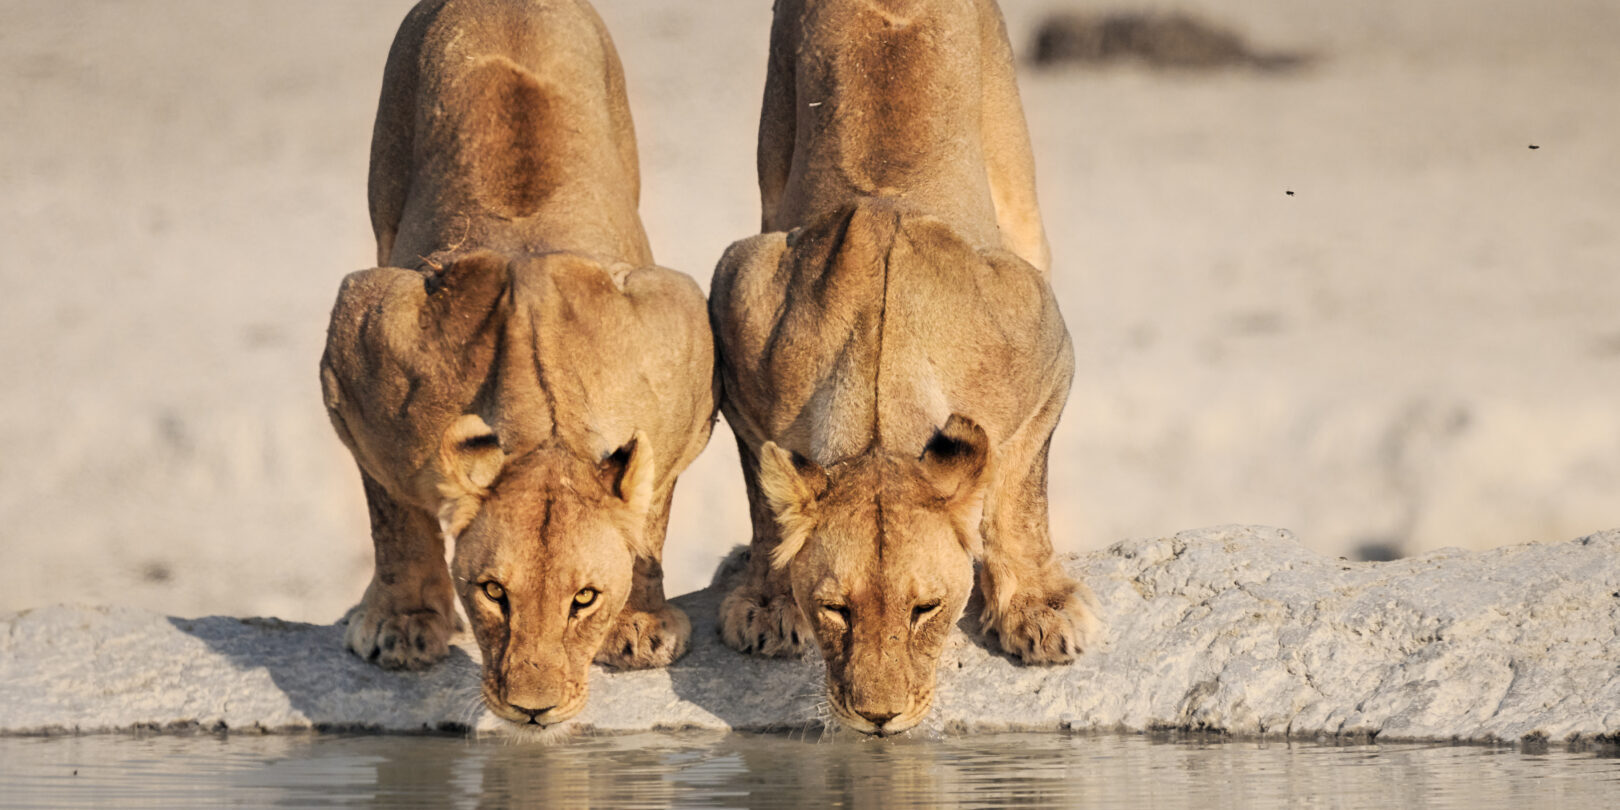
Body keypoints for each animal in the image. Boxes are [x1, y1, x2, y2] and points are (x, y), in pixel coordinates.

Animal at [319, 0, 715, 730]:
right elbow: (392, 511)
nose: (533, 710)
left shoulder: (684, 354)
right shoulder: (362, 343)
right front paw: (402, 623)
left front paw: (640, 623)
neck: (545, 428)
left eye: (584, 599)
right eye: (493, 592)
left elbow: (650, 504)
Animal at [709, 0, 1101, 735]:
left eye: (926, 609)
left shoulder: (1046, 345)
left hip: (1017, 190)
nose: (879, 718)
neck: (876, 398)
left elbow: (1018, 494)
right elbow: (765, 499)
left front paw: (1039, 609)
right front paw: (767, 601)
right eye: (835, 609)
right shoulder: (738, 316)